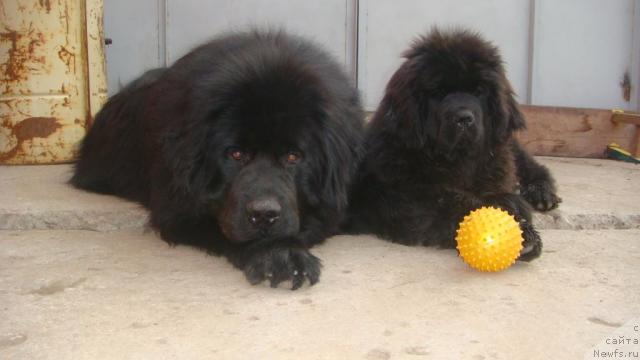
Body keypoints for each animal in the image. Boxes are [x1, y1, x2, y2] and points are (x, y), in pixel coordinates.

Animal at [344, 27, 560, 258]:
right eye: (438, 93)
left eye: (479, 91)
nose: (463, 118)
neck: (457, 160)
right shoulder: (407, 196)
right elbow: (457, 203)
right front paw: (522, 233)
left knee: (533, 166)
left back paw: (542, 193)